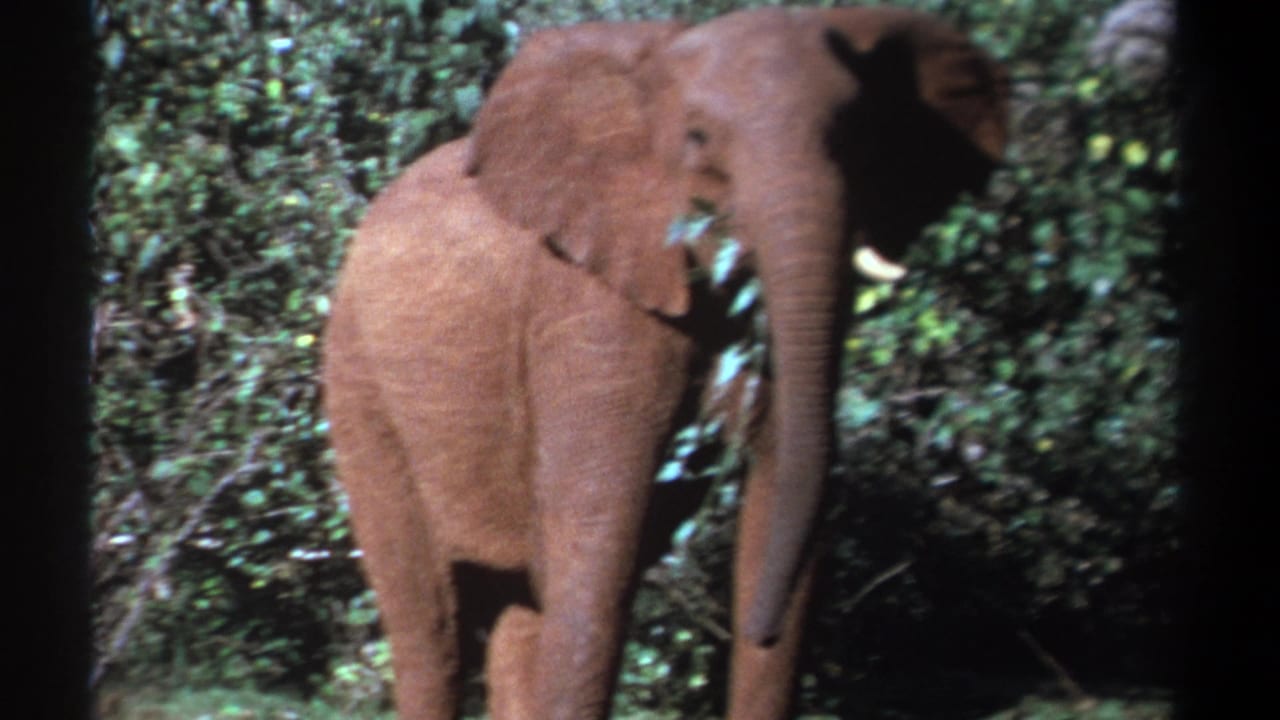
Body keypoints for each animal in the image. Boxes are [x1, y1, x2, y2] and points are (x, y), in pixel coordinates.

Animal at [323, 5, 1007, 719]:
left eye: (859, 136)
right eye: (699, 138)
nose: (755, 627)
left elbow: (785, 482)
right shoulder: (588, 300)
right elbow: (598, 543)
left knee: (518, 609)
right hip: (357, 380)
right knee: (429, 620)